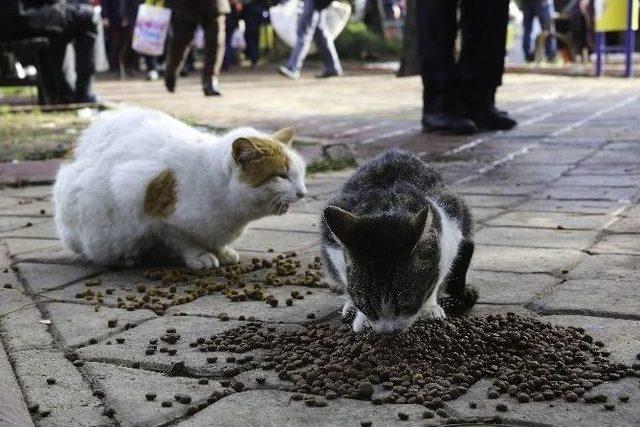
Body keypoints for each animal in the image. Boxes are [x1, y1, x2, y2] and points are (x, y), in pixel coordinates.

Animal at [52, 108, 308, 270]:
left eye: (300, 174)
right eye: (282, 175)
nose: (303, 193)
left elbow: (217, 242)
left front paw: (223, 252)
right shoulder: (152, 208)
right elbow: (186, 242)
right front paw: (201, 257)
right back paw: (127, 258)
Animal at [320, 150, 476, 334]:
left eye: (406, 303)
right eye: (366, 305)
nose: (387, 331)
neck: (388, 206)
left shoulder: (450, 230)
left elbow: (437, 276)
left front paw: (429, 307)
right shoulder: (333, 247)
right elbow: (344, 276)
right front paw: (361, 317)